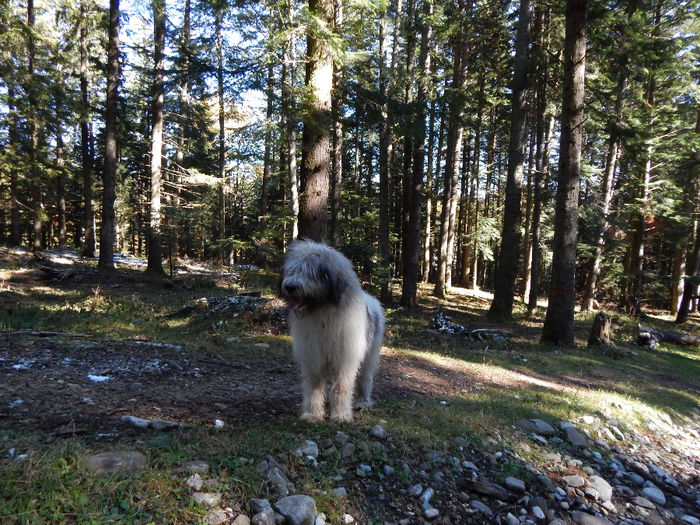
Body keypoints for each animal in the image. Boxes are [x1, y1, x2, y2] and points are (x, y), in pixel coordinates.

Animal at [278, 241, 386, 422]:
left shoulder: (345, 358)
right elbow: (314, 387)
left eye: (310, 271)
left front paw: (341, 415)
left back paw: (363, 402)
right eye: (292, 270)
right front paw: (312, 413)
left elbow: (341, 387)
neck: (322, 312)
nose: (290, 287)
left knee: (366, 379)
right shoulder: (313, 357)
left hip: (370, 354)